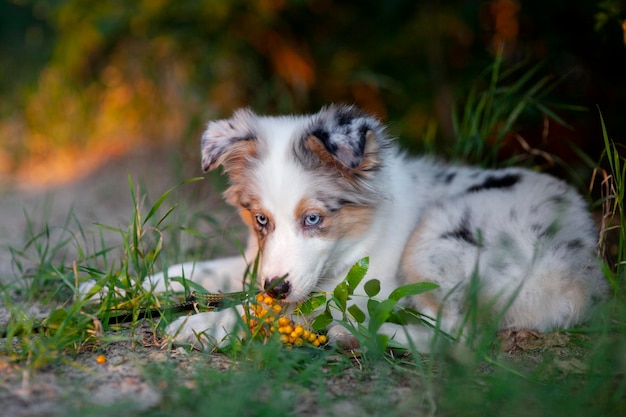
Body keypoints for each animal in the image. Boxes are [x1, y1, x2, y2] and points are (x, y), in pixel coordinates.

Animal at [154, 105, 608, 352]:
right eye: (261, 219)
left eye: (313, 218)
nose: (275, 288)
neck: (353, 240)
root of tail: (582, 272)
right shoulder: (257, 261)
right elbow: (204, 270)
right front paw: (137, 286)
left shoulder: (357, 286)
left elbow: (282, 312)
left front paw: (201, 326)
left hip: (436, 238)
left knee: (459, 337)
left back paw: (353, 335)